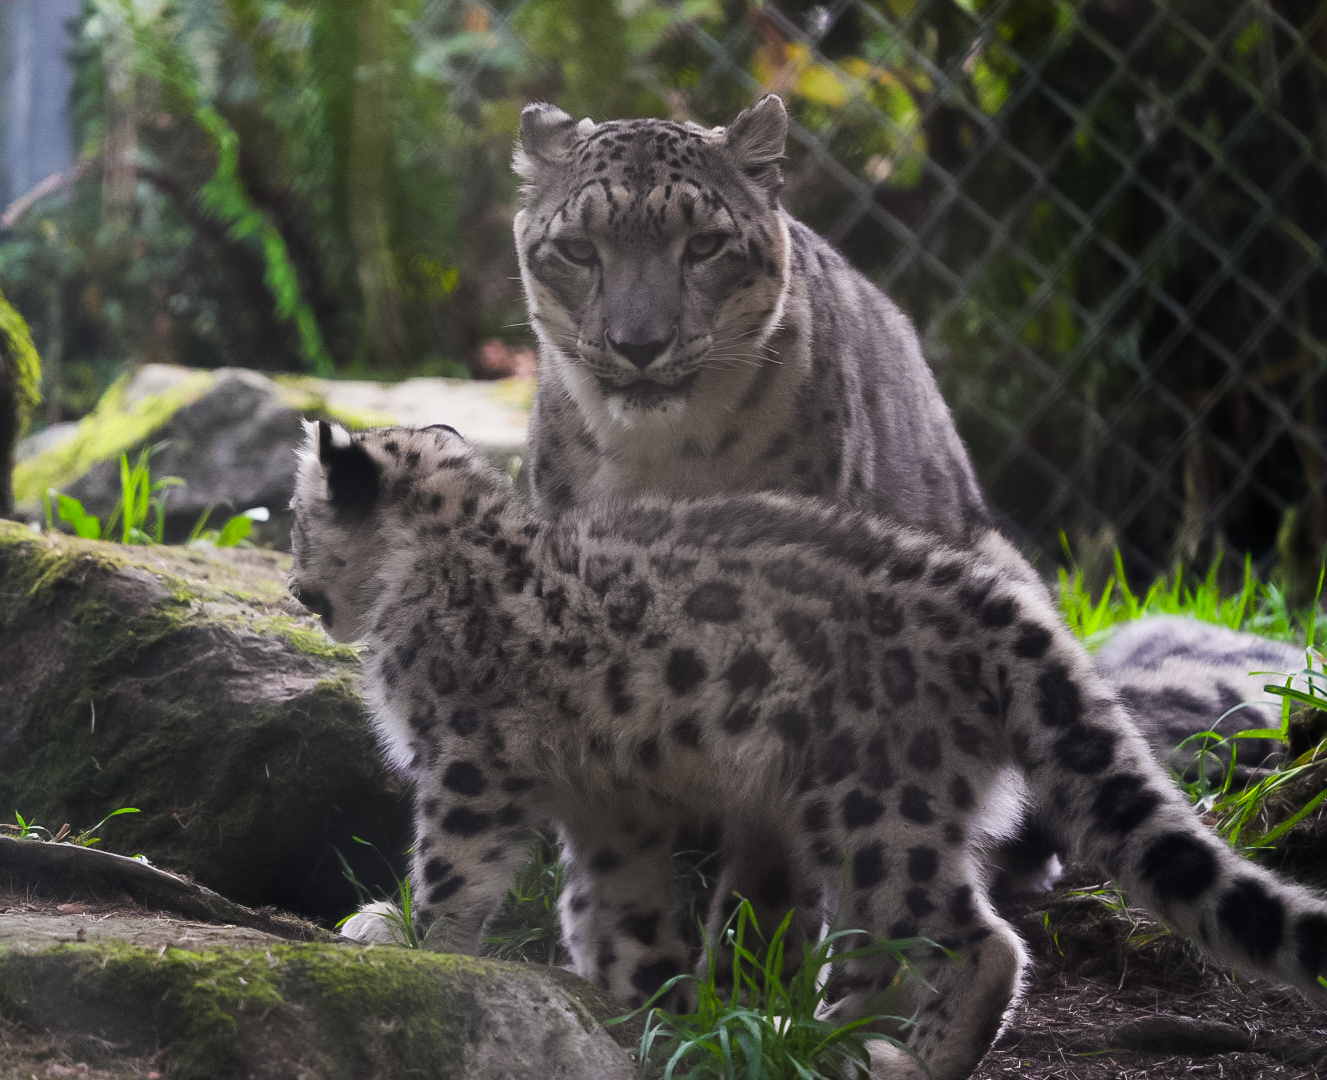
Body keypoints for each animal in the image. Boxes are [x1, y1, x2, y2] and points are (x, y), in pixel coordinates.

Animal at [288, 419, 1327, 1080]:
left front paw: (410, 944)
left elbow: (452, 868)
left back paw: (905, 1061)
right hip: (880, 823)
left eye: (297, 518)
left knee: (979, 941)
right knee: (877, 951)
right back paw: (810, 1035)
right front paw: (644, 1006)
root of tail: (1009, 610)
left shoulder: (466, 759)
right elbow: (618, 911)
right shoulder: (611, 805)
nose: (295, 584)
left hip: (878, 808)